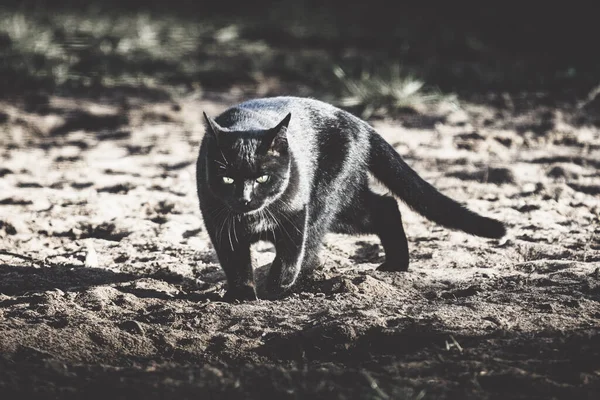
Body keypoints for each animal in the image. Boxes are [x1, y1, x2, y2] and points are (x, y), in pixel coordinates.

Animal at [196, 97, 502, 302]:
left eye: (261, 178)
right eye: (227, 179)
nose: (245, 199)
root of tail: (359, 121)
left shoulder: (296, 214)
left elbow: (290, 255)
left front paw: (277, 286)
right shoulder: (219, 223)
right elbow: (235, 262)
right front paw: (242, 295)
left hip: (328, 202)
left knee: (342, 227)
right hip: (345, 209)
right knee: (386, 207)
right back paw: (396, 265)